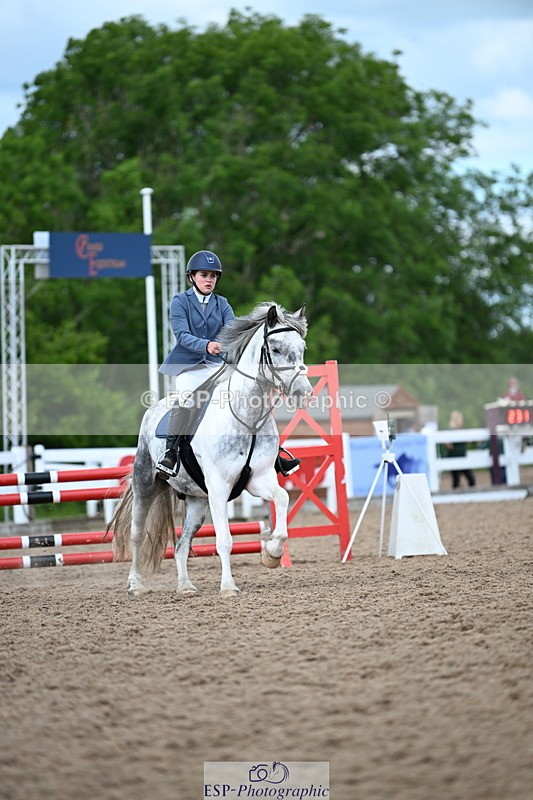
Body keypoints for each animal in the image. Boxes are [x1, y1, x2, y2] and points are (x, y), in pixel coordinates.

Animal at [110, 302, 312, 597]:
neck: (248, 418)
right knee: (137, 534)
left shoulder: (258, 480)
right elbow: (225, 539)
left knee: (181, 544)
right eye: (274, 349)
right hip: (146, 483)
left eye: (302, 346)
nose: (302, 393)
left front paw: (271, 554)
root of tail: (154, 410)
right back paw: (136, 584)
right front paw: (228, 587)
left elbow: (283, 500)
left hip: (198, 501)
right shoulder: (219, 487)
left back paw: (185, 586)